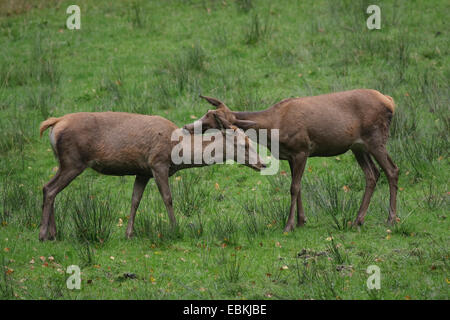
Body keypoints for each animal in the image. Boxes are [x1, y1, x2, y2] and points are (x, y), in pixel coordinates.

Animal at [39, 112, 264, 240]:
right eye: (244, 144)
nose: (263, 163)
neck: (179, 152)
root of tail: (55, 123)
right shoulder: (158, 163)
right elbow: (168, 198)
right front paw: (175, 229)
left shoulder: (142, 171)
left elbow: (135, 200)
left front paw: (128, 233)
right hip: (73, 161)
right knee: (50, 189)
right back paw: (43, 234)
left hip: (64, 162)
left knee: (48, 187)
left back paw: (53, 233)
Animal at [184, 89, 400, 231]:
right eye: (207, 112)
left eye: (212, 117)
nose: (187, 126)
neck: (274, 127)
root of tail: (390, 101)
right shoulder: (290, 155)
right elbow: (299, 186)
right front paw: (302, 221)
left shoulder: (302, 149)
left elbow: (294, 187)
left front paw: (289, 225)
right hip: (358, 146)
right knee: (372, 174)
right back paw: (357, 220)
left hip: (376, 137)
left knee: (392, 170)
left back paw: (390, 219)